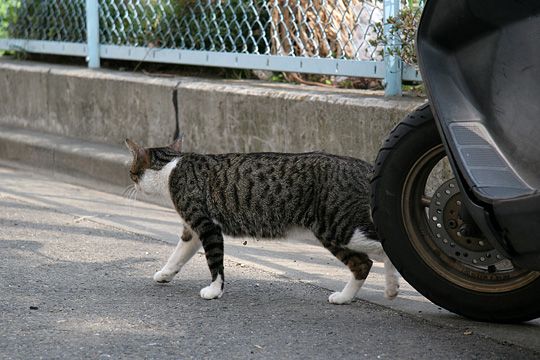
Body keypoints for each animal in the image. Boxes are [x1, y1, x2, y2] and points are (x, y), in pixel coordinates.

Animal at [124, 138, 398, 304]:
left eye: (131, 172)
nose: (131, 184)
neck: (171, 167)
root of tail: (362, 166)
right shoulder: (192, 229)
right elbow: (178, 254)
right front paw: (165, 273)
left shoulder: (207, 226)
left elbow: (215, 262)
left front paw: (214, 291)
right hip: (335, 233)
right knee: (363, 264)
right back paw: (347, 297)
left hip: (340, 226)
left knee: (382, 248)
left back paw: (391, 286)